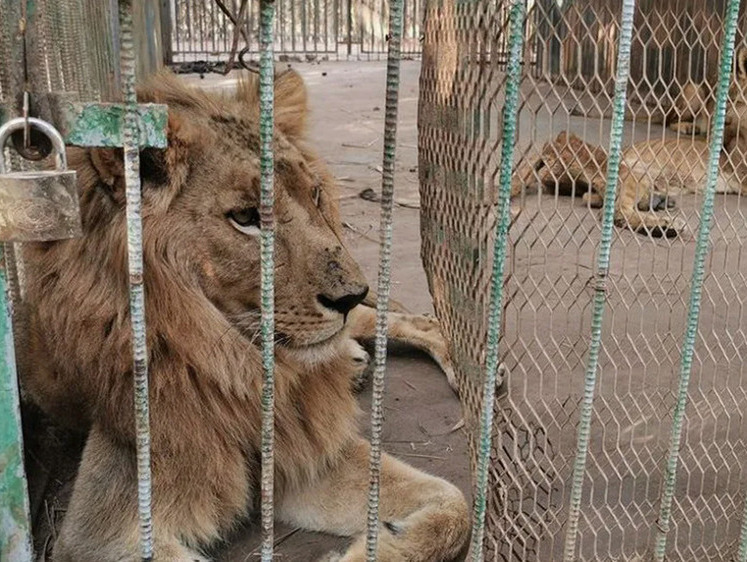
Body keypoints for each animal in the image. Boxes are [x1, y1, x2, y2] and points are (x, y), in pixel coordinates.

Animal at [19, 71, 468, 560]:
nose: (352, 294)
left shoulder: (307, 451)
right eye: (246, 217)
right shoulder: (100, 530)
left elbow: (455, 504)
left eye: (314, 195)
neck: (237, 365)